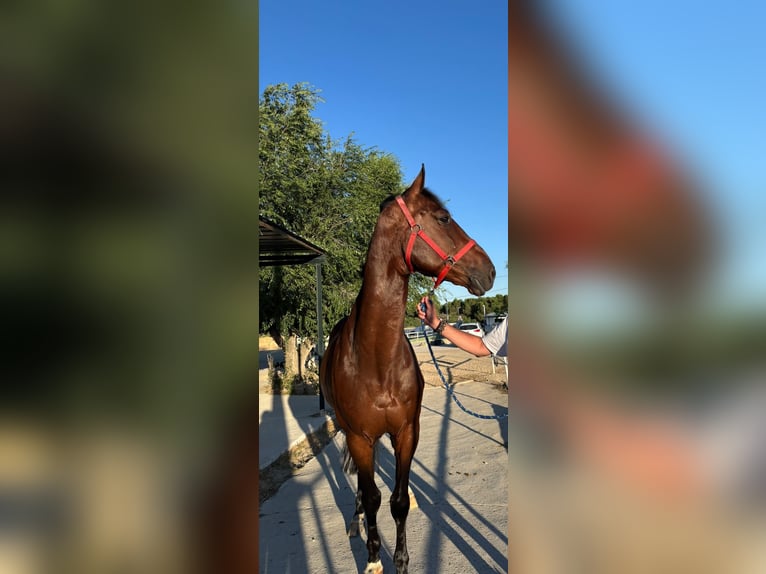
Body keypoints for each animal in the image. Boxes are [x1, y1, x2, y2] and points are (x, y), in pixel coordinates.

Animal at [319, 166, 495, 574]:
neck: (375, 357)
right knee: (361, 486)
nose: (491, 271)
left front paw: (400, 559)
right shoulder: (359, 437)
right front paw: (373, 559)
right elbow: (372, 497)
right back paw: (355, 521)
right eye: (443, 218)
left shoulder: (406, 431)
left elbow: (397, 501)